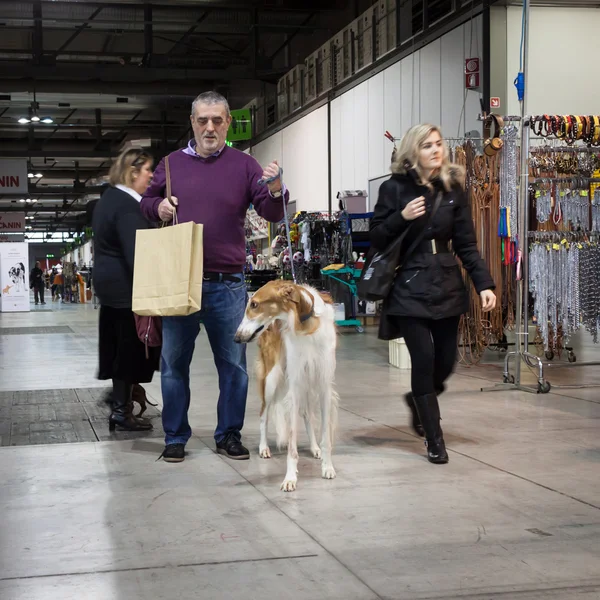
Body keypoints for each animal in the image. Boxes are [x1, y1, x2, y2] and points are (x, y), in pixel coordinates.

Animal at [233, 282, 338, 492]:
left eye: (254, 304)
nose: (237, 337)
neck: (304, 324)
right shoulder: (295, 384)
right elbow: (291, 443)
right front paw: (290, 478)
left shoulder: (323, 384)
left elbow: (325, 435)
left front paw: (327, 467)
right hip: (272, 378)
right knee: (263, 414)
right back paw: (264, 447)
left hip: (305, 381)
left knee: (307, 414)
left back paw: (314, 448)